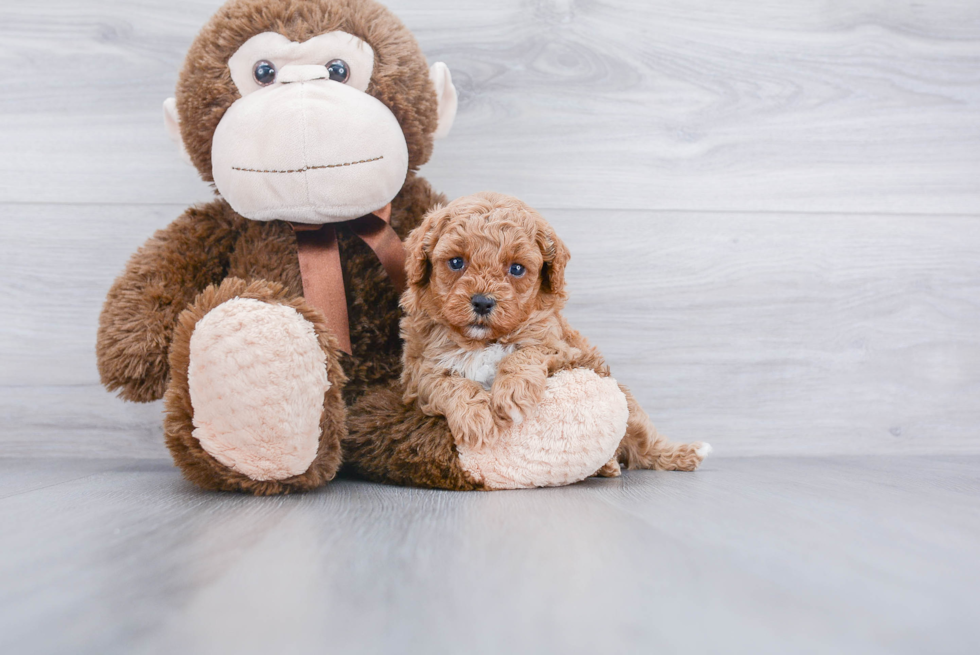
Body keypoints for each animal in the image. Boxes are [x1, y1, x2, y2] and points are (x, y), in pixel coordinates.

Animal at [398, 192, 712, 474]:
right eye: (456, 262)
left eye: (516, 268)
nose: (483, 302)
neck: (482, 341)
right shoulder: (420, 371)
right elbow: (451, 384)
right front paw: (476, 418)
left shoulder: (561, 347)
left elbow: (524, 354)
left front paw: (512, 394)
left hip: (629, 409)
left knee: (645, 445)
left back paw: (683, 453)